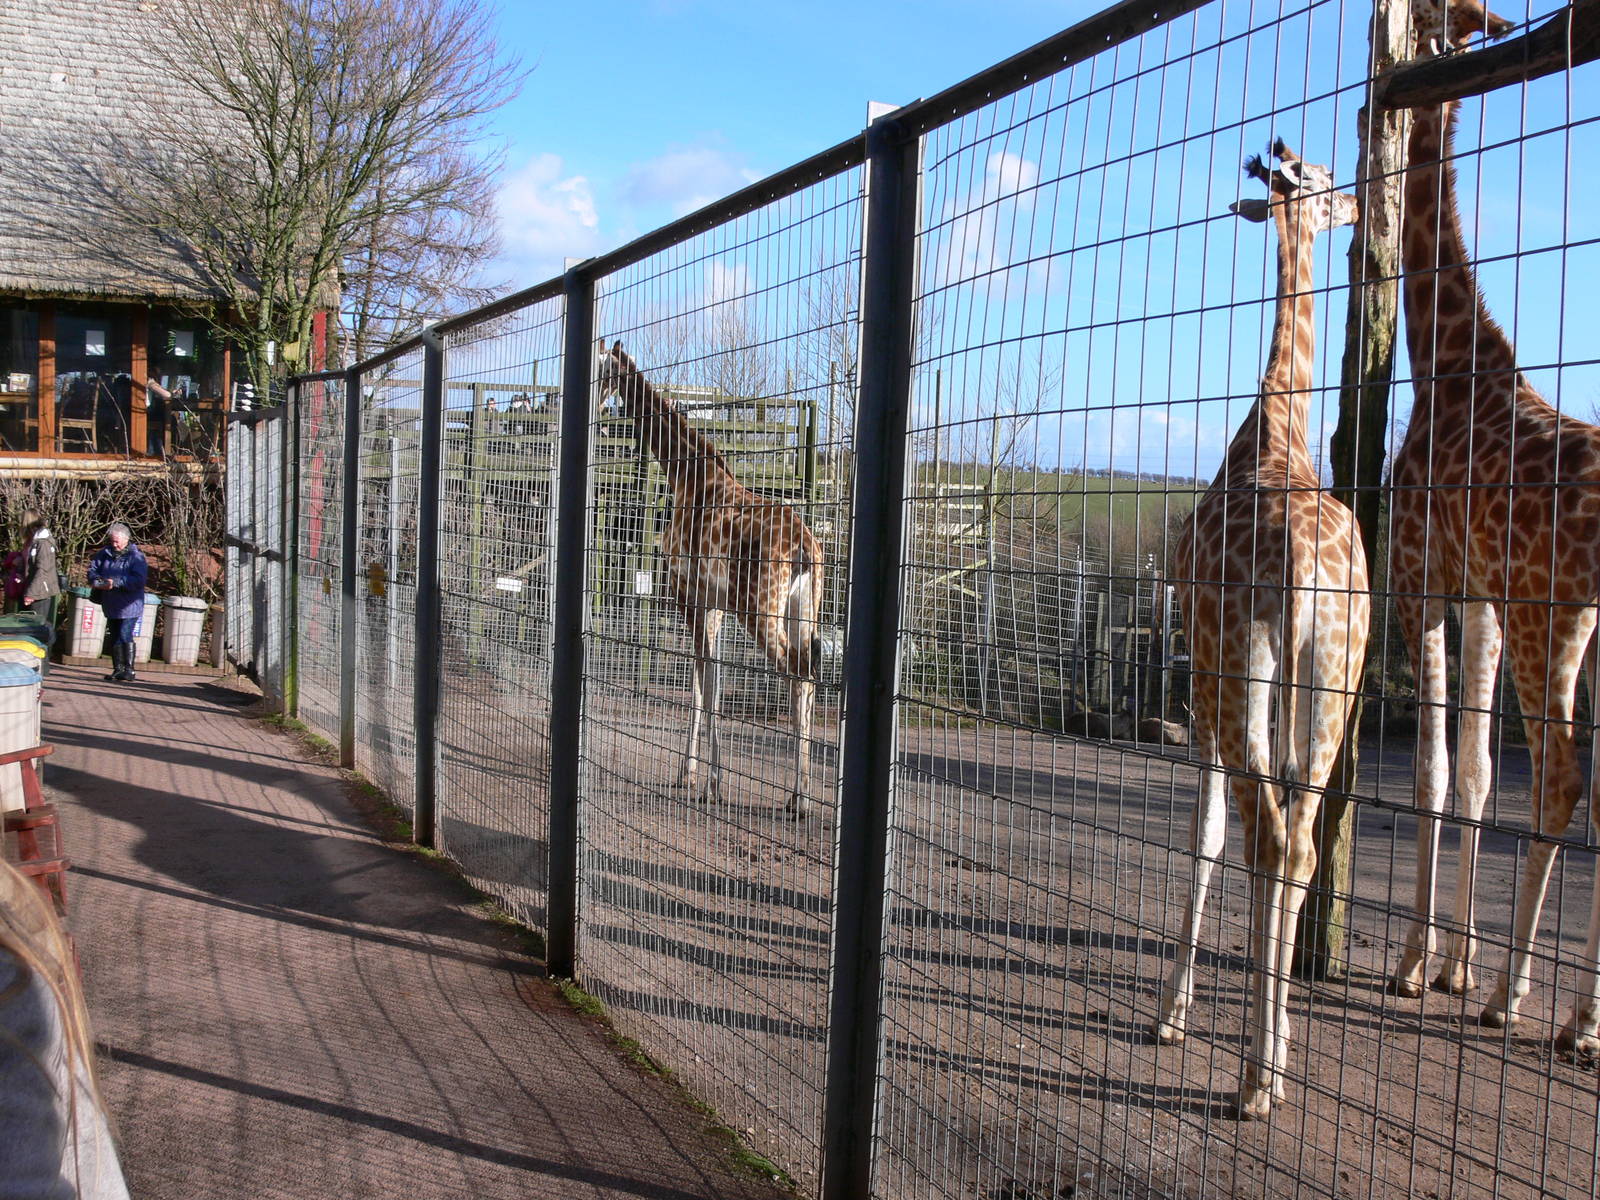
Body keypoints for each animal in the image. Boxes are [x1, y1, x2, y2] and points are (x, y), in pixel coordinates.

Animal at [594, 341, 824, 819]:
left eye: (602, 370)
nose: (596, 404)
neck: (685, 475)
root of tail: (806, 549)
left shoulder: (688, 596)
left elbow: (704, 680)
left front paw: (708, 782)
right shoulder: (714, 605)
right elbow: (709, 684)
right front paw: (695, 775)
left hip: (760, 610)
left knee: (797, 673)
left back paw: (800, 798)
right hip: (802, 610)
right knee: (808, 677)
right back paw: (799, 793)